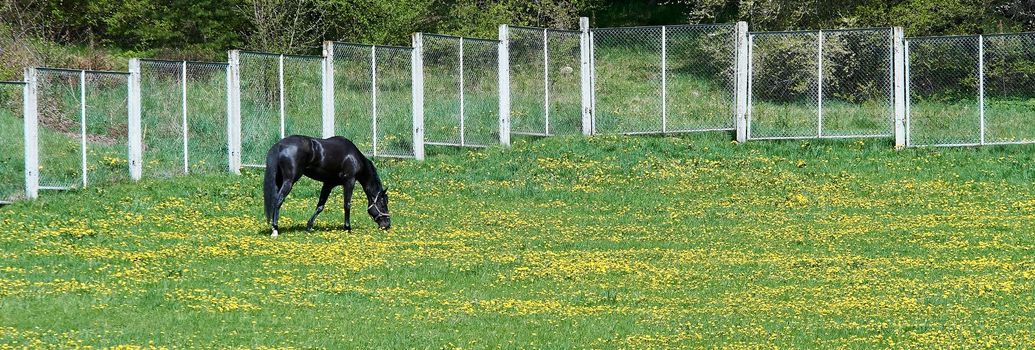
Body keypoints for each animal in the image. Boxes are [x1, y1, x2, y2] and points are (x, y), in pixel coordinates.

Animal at [262, 134, 391, 238]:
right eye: (382, 204)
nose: (387, 225)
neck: (353, 157)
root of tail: (280, 145)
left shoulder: (328, 184)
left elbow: (320, 206)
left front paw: (309, 226)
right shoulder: (349, 181)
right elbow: (347, 205)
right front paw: (348, 228)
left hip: (279, 181)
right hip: (289, 181)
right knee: (278, 201)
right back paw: (275, 229)